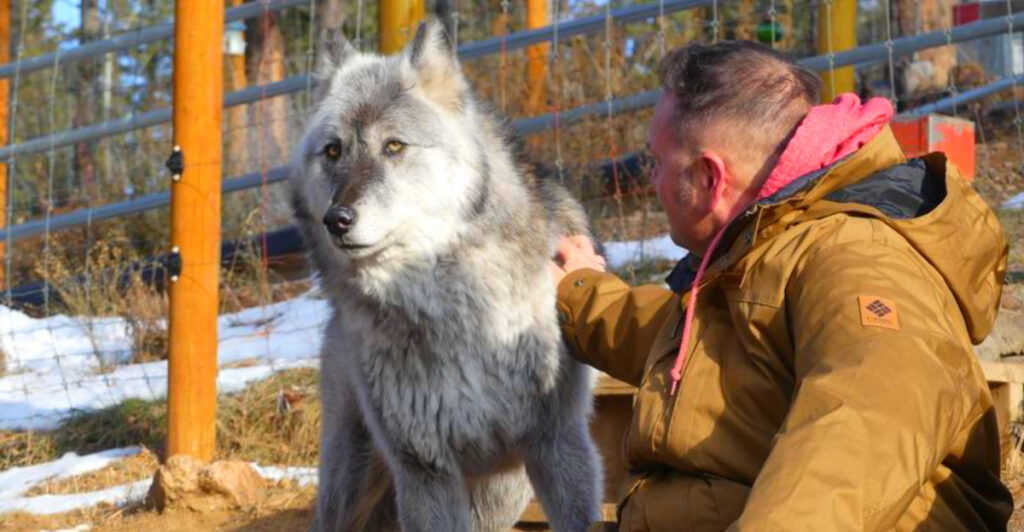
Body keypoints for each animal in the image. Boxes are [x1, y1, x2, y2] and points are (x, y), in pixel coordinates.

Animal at [289, 20, 603, 532]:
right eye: (333, 151)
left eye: (394, 146)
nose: (337, 219)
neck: (452, 309)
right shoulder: (424, 470)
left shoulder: (556, 444)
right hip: (349, 482)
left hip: (499, 493)